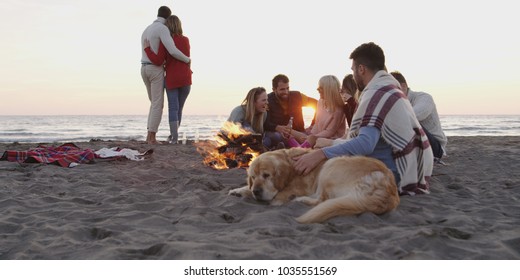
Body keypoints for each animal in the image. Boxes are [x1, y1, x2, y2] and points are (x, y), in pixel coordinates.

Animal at [225, 148, 400, 224]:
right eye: (253, 177)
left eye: (267, 175)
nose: (257, 191)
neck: (290, 163)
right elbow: (245, 188)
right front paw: (237, 191)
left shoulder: (296, 186)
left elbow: (280, 195)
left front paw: (279, 199)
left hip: (331, 164)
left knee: (322, 200)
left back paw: (300, 200)